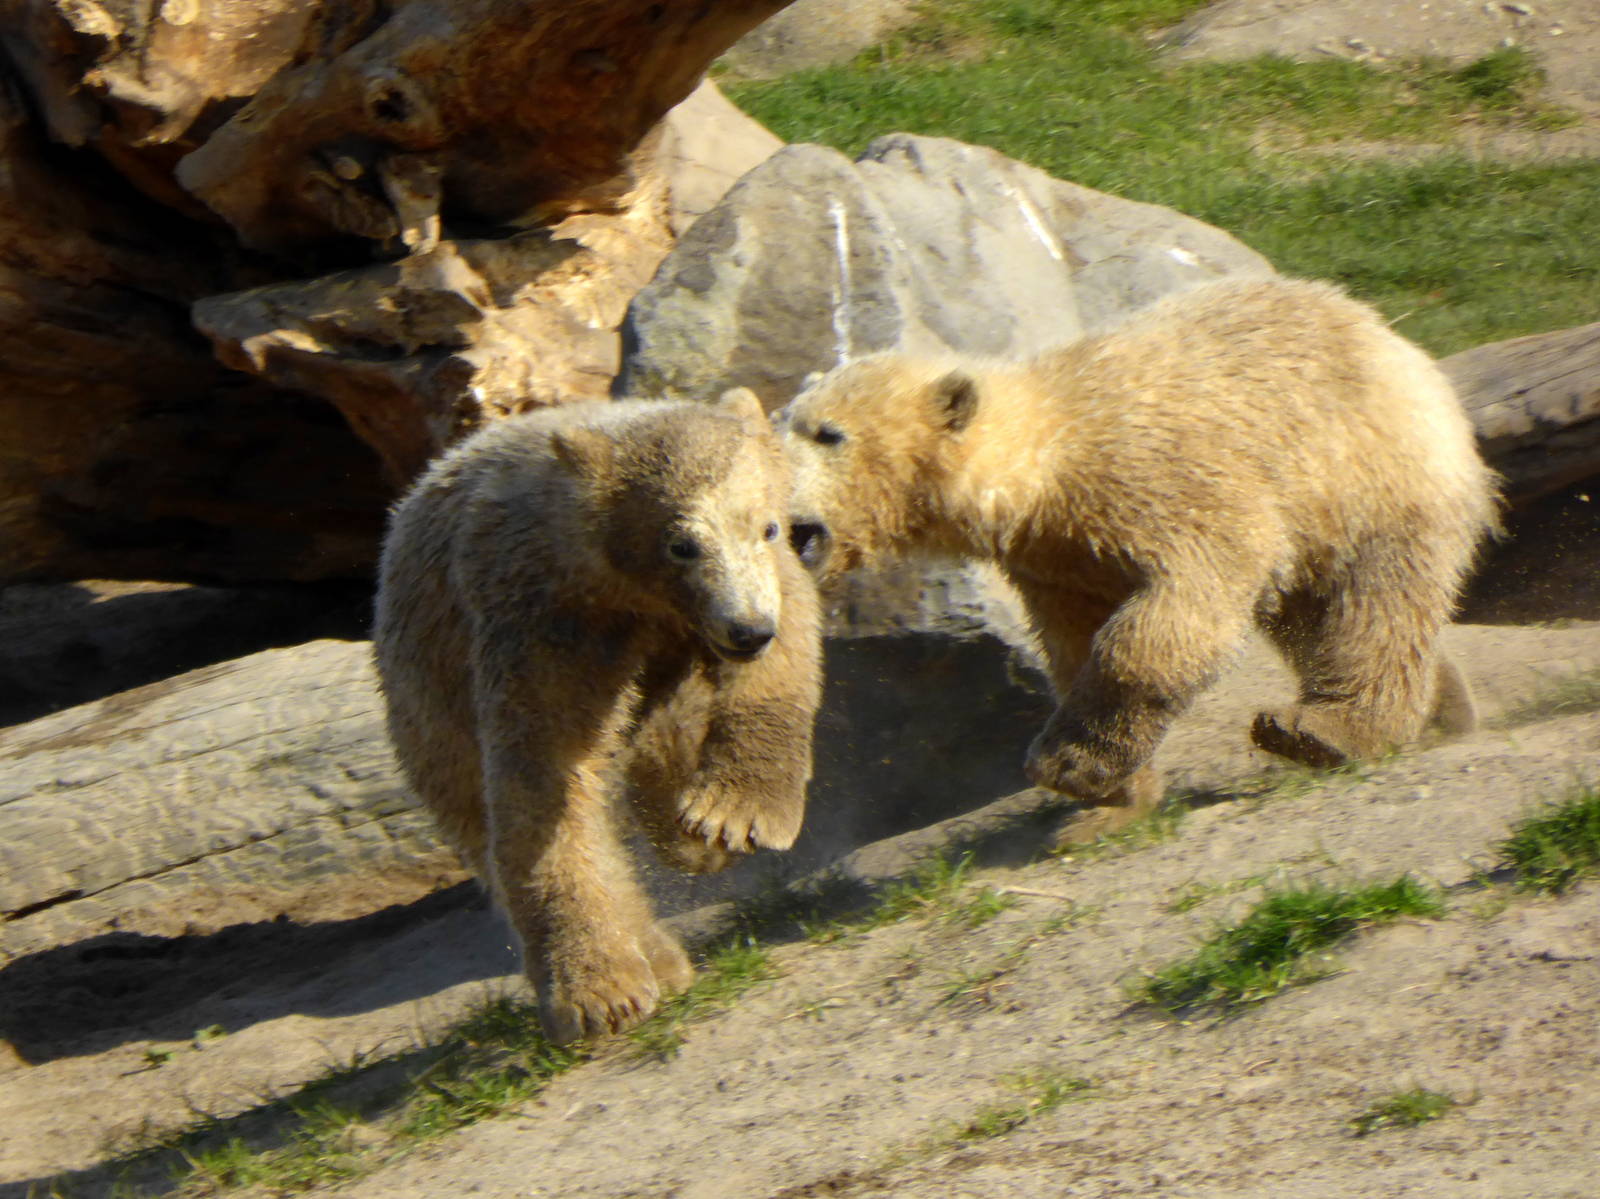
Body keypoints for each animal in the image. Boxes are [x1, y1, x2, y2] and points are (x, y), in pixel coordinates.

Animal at [373, 391, 822, 1042]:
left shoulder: (767, 580)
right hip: (427, 697)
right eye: (681, 543)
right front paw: (599, 994)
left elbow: (785, 658)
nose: (747, 630)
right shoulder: (543, 620)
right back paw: (648, 961)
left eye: (765, 525)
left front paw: (730, 816)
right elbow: (545, 784)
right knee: (484, 817)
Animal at [774, 275, 1498, 845]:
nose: (774, 508)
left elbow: (1169, 618)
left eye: (829, 433)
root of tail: (1393, 339)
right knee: (1315, 616)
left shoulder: (1164, 485)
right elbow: (1072, 647)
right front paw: (1105, 806)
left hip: (1369, 470)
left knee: (1372, 602)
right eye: (786, 423)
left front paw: (1067, 765)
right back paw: (1441, 707)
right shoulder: (1056, 557)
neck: (1048, 456)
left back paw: (1325, 729)